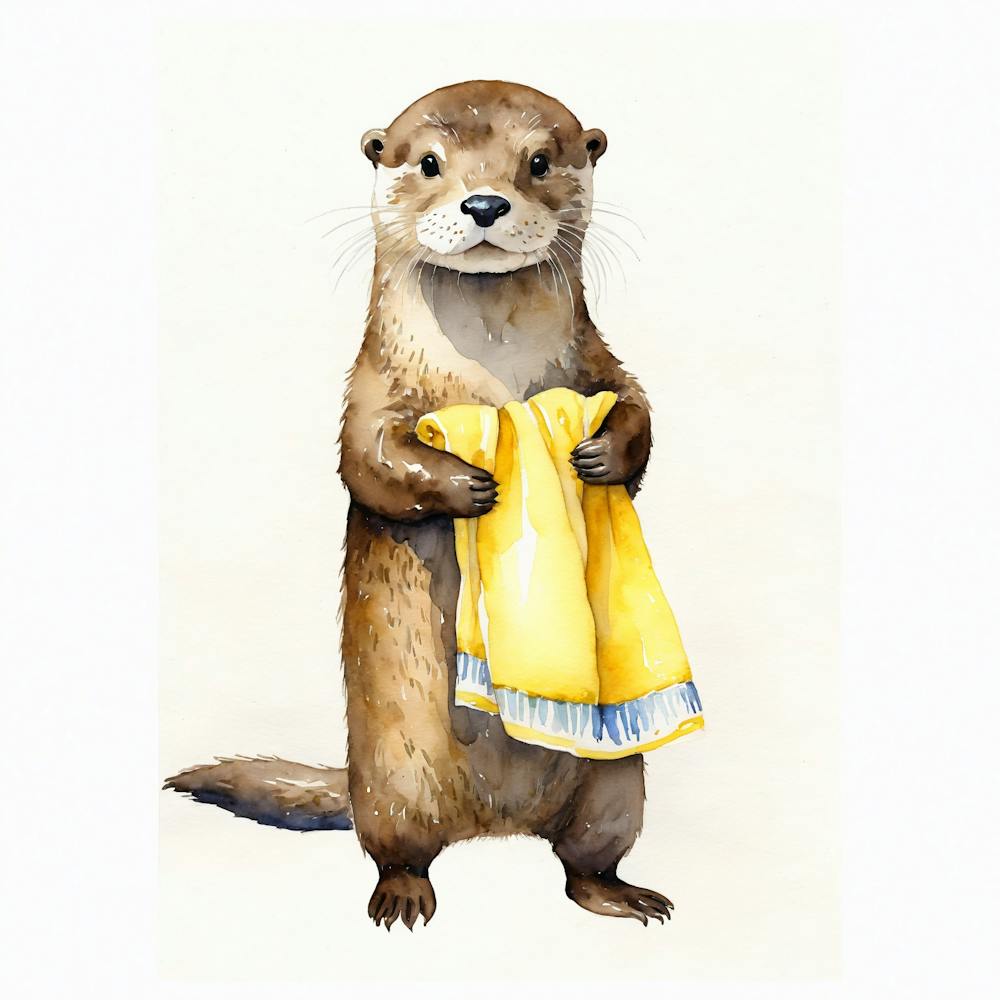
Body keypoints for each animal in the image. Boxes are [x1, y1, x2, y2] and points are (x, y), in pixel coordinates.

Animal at [167, 80, 673, 930]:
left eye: (540, 160)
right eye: (431, 162)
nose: (484, 202)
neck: (491, 365)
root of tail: (497, 823)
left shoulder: (599, 360)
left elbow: (637, 406)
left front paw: (603, 456)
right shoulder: (372, 389)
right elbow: (368, 462)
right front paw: (467, 487)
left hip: (616, 785)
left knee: (585, 858)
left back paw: (621, 894)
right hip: (391, 778)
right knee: (399, 847)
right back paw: (402, 896)